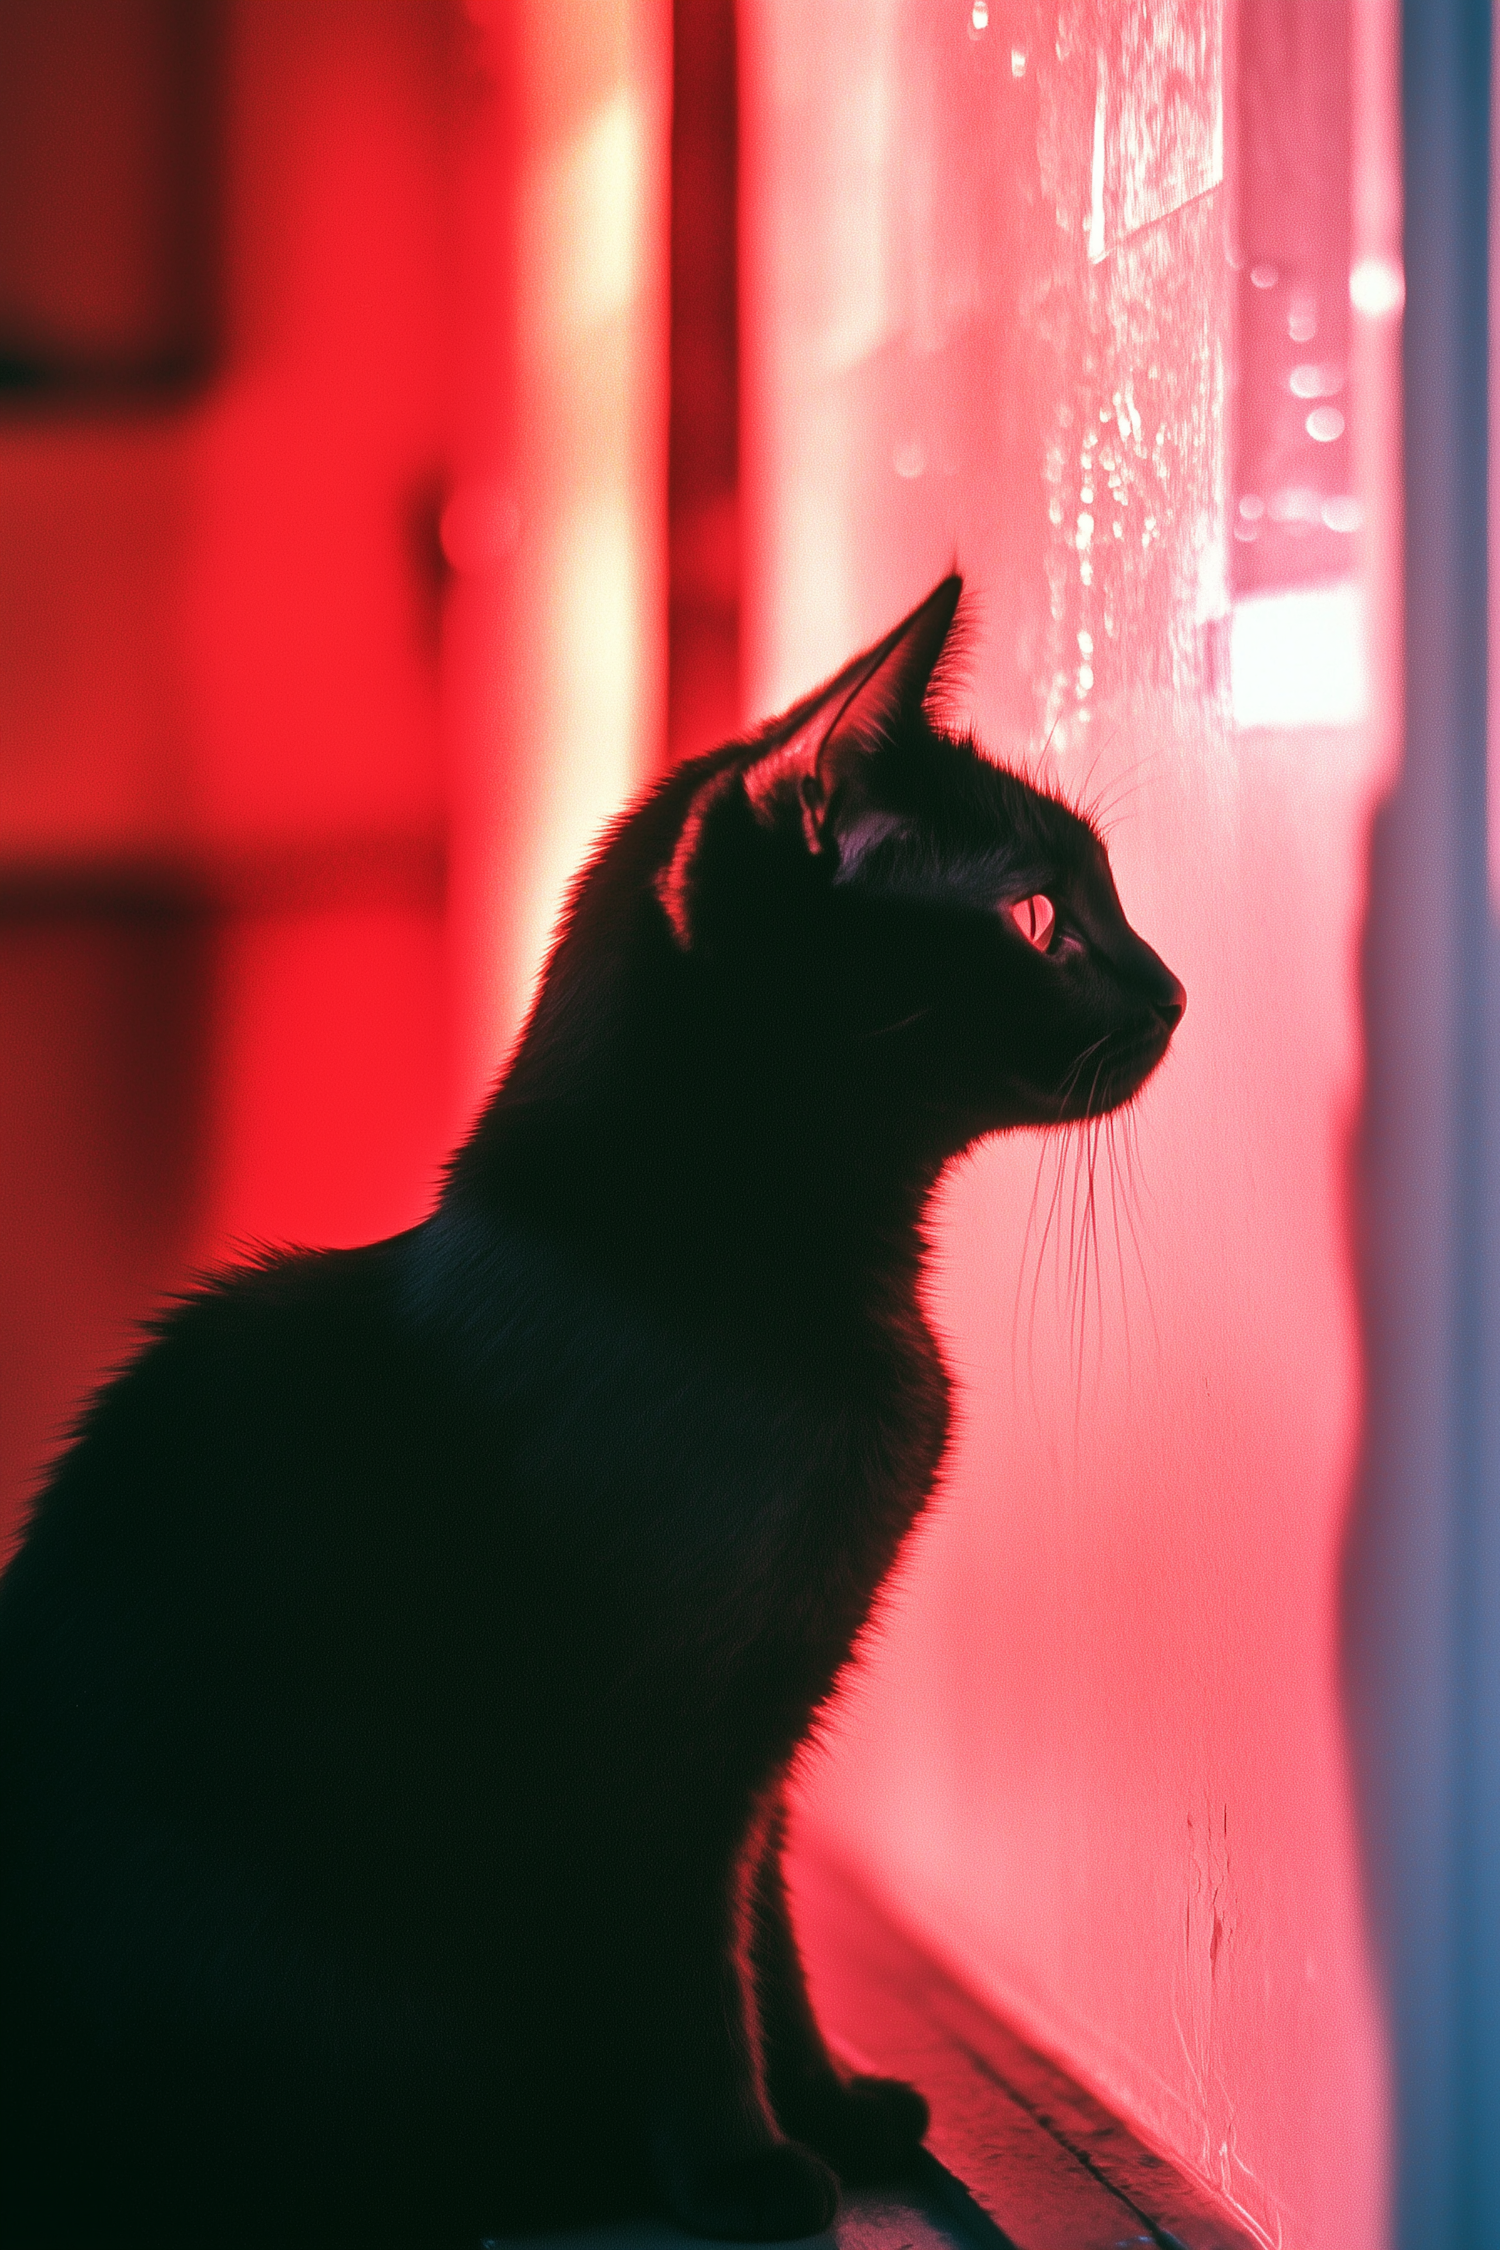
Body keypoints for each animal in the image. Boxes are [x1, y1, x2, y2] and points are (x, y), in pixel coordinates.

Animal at [0, 580, 1187, 2250]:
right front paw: (747, 2169)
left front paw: (832, 2105)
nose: (1172, 985)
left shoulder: (774, 1714)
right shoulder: (658, 1726)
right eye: (1035, 917)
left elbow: (767, 1926)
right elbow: (687, 1957)